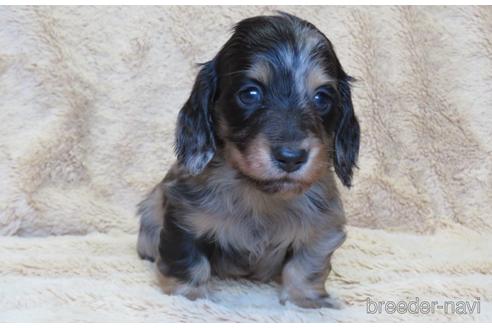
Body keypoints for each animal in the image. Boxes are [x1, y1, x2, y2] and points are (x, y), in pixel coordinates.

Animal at [136, 12, 360, 308]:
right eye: (250, 93)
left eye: (322, 97)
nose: (291, 158)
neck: (258, 195)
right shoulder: (184, 218)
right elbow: (189, 263)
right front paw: (190, 296)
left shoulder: (322, 228)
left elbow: (306, 266)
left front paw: (306, 301)